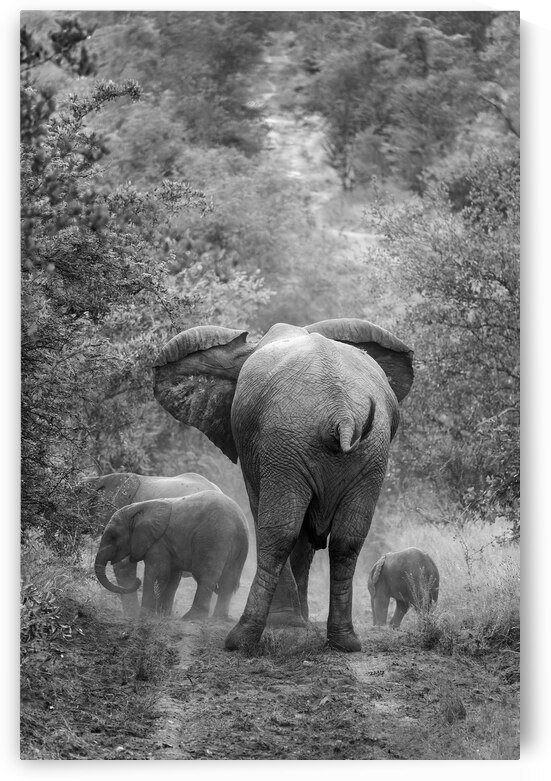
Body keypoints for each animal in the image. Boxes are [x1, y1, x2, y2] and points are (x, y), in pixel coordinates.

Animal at [94, 490, 249, 620]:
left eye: (113, 537)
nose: (137, 581)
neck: (139, 508)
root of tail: (238, 520)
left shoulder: (158, 543)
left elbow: (156, 573)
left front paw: (145, 616)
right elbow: (173, 577)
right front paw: (163, 616)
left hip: (213, 538)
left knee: (205, 577)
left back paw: (191, 618)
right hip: (239, 544)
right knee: (228, 581)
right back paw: (218, 619)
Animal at [153, 318, 413, 652]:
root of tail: (341, 413)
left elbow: (269, 515)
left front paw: (287, 622)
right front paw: (300, 620)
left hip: (289, 441)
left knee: (278, 534)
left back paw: (241, 639)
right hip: (370, 453)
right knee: (347, 541)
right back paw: (345, 642)